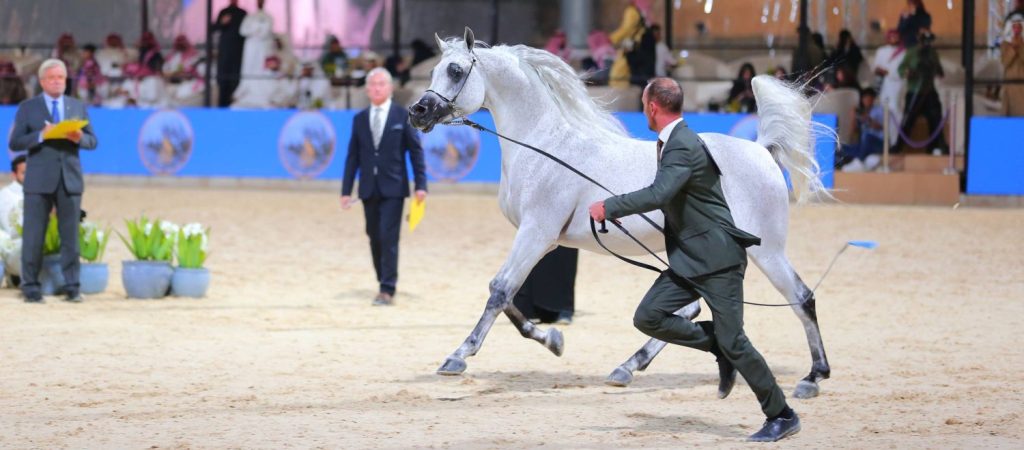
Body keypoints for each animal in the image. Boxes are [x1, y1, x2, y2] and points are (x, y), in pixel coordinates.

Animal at [408, 28, 831, 399]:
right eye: (433, 70)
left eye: (456, 70)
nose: (418, 111)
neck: (544, 145)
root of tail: (762, 151)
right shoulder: (542, 241)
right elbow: (508, 295)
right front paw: (553, 339)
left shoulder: (536, 233)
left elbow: (499, 290)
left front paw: (458, 356)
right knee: (693, 307)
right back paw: (628, 367)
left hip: (766, 251)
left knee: (802, 297)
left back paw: (813, 378)